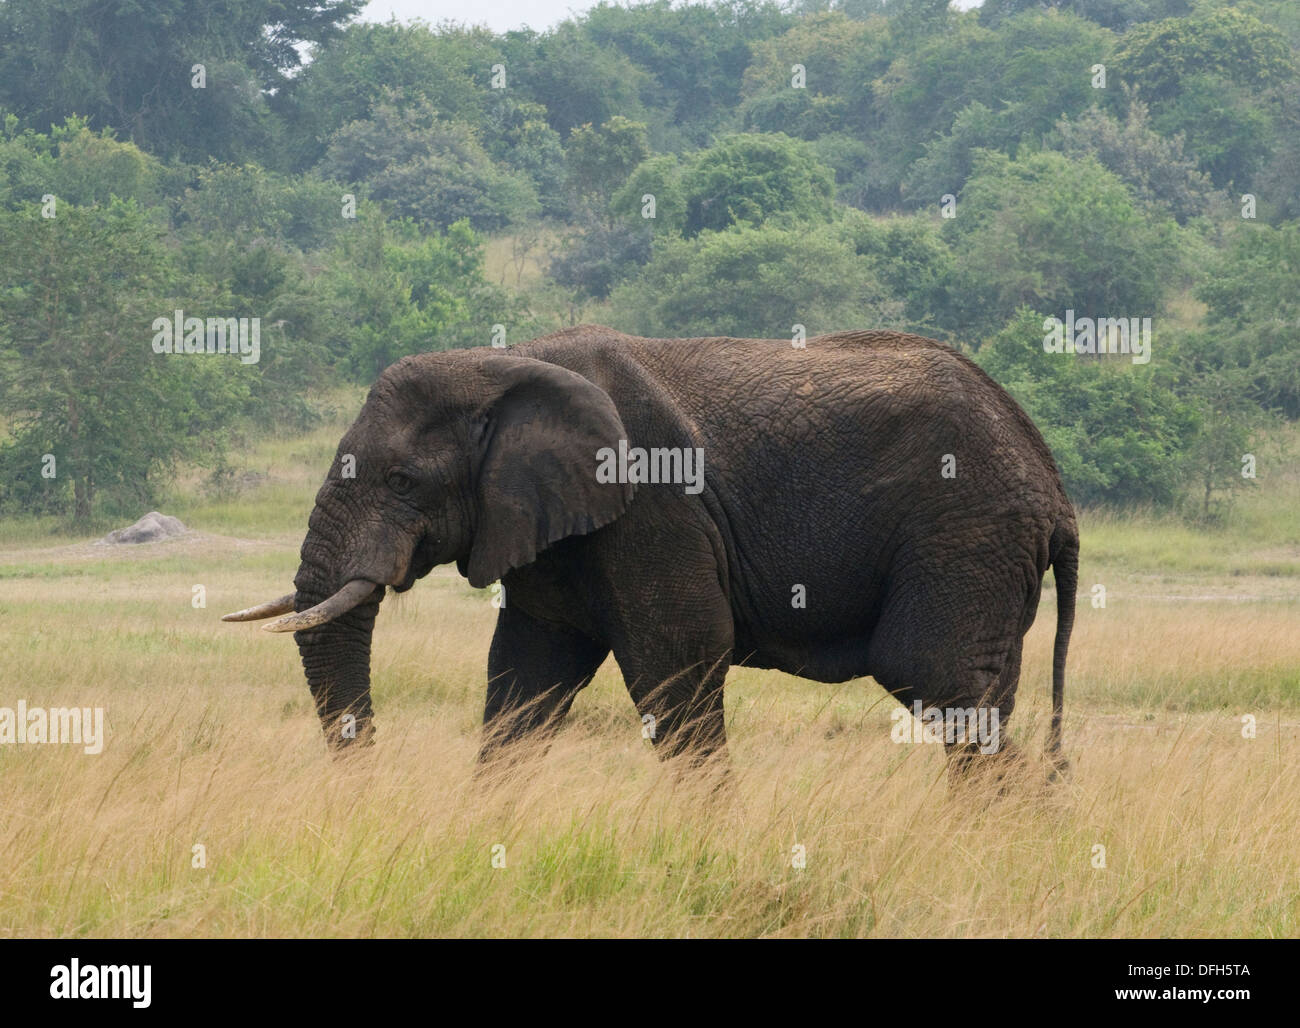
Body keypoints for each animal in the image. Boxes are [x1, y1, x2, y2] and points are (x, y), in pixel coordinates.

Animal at [225, 325, 1078, 781]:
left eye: (403, 480)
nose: (370, 781)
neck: (506, 362)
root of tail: (1053, 483)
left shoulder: (653, 508)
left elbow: (680, 658)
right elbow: (526, 677)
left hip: (964, 528)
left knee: (933, 675)